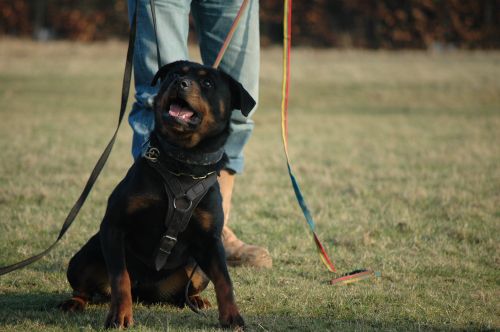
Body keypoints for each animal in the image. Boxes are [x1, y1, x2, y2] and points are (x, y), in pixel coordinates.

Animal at [60, 60, 256, 330]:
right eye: (174, 74)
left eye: (207, 83)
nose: (180, 83)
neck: (183, 163)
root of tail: (144, 292)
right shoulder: (114, 225)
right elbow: (120, 277)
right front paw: (120, 315)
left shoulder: (210, 241)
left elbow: (225, 281)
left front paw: (232, 317)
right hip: (82, 260)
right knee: (85, 288)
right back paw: (74, 302)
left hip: (196, 269)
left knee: (185, 292)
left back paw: (197, 300)